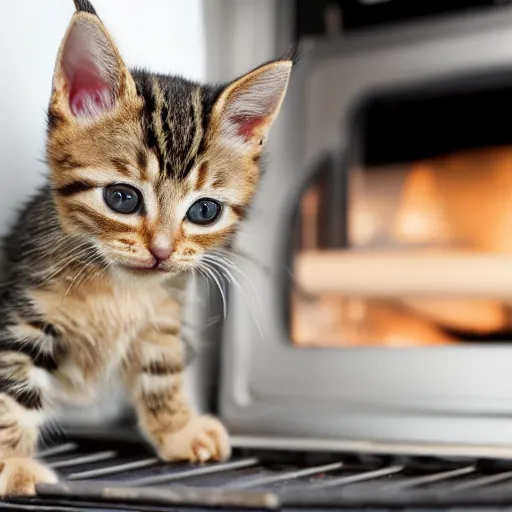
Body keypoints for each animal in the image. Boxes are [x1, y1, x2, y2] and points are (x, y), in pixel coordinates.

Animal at [0, 0, 292, 496]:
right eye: (122, 198)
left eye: (205, 211)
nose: (161, 250)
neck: (116, 287)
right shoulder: (22, 313)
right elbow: (12, 388)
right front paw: (11, 463)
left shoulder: (161, 316)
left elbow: (161, 372)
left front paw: (178, 428)